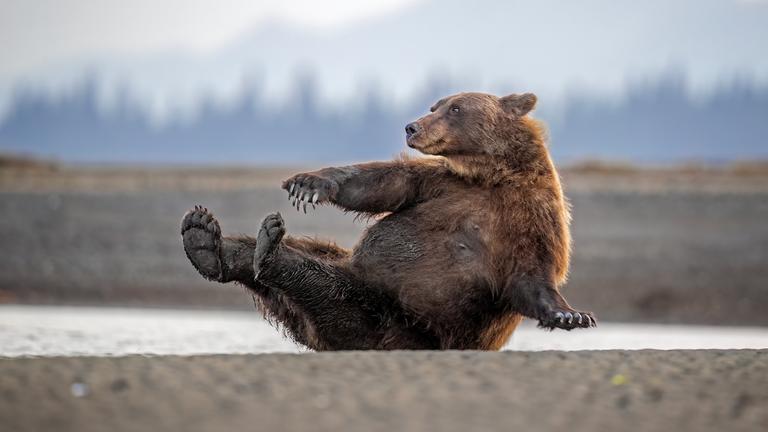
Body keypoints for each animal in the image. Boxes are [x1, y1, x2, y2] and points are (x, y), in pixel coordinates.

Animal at [181, 91, 596, 351]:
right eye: (434, 104)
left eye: (455, 107)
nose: (412, 126)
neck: (490, 175)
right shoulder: (440, 184)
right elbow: (381, 184)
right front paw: (308, 183)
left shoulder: (531, 216)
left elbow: (532, 275)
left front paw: (570, 314)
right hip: (359, 282)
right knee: (308, 256)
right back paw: (206, 239)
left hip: (382, 318)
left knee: (319, 284)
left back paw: (261, 250)